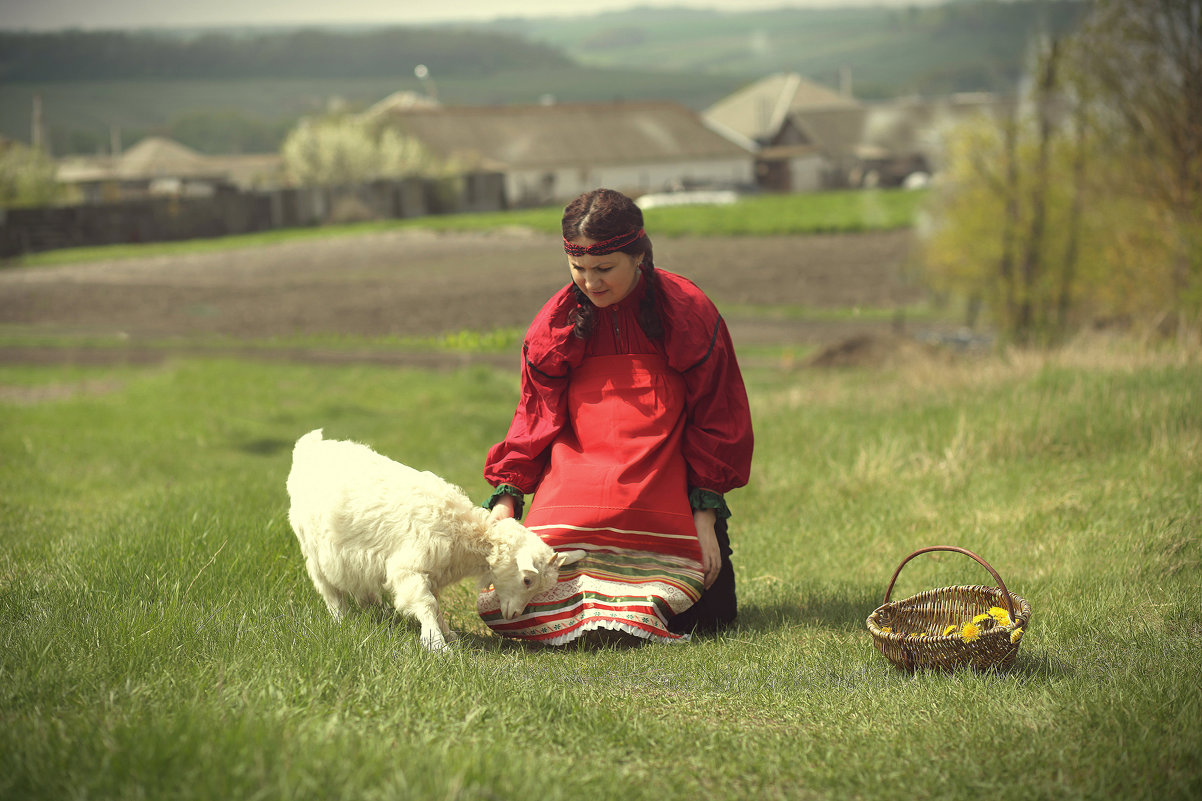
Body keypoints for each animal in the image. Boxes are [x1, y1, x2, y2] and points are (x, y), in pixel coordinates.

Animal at [282, 428, 581, 644]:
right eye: (527, 579)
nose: (515, 614)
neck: (463, 531)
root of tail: (309, 446)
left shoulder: (433, 571)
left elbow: (436, 605)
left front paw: (448, 633)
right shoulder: (410, 567)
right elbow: (425, 603)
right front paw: (436, 643)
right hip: (315, 548)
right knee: (327, 586)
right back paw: (340, 619)